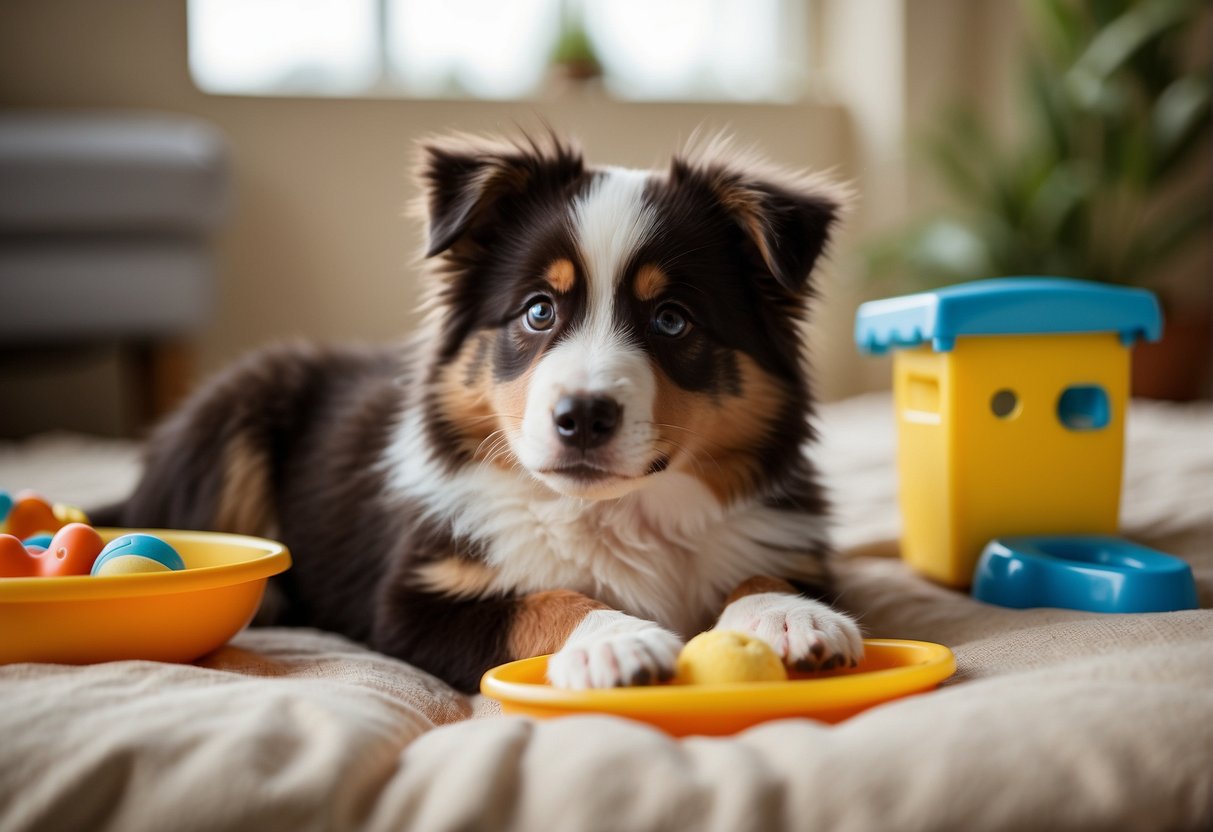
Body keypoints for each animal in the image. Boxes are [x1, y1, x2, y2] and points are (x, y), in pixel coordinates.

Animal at [101, 133, 863, 693]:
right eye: (538, 310)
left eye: (672, 320)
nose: (581, 417)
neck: (616, 514)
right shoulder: (413, 602)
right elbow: (539, 600)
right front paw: (616, 639)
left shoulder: (792, 542)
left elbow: (764, 572)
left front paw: (789, 616)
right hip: (237, 407)